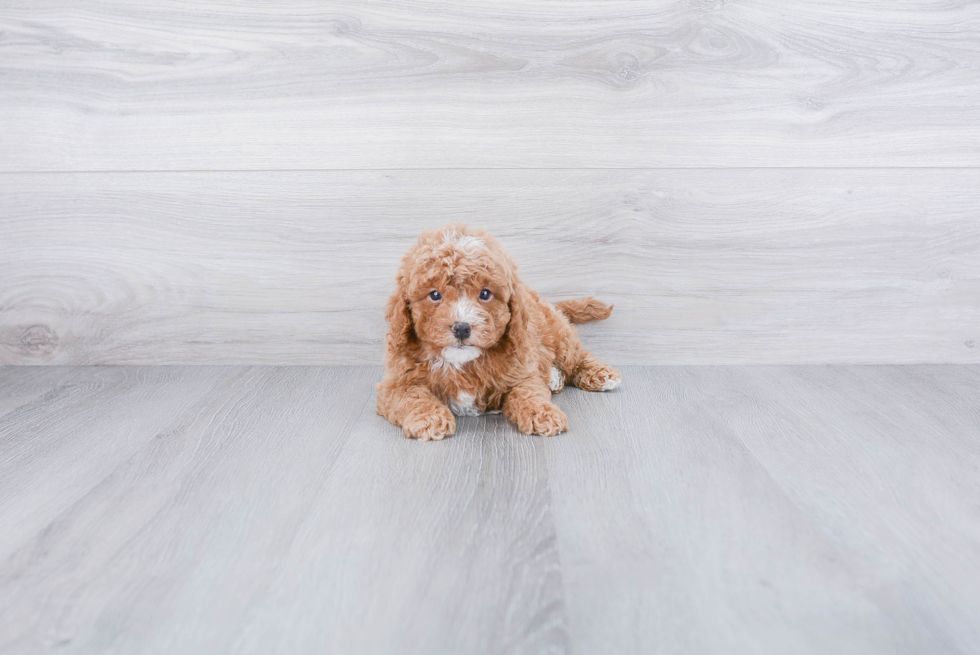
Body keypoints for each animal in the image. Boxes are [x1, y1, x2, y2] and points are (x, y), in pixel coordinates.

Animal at [376, 224, 620, 440]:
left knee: (576, 355)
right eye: (434, 295)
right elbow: (414, 396)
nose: (462, 327)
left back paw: (601, 374)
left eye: (485, 294)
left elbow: (528, 392)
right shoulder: (396, 383)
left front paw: (543, 414)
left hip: (557, 335)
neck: (462, 363)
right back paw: (554, 378)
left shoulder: (520, 370)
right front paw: (430, 419)